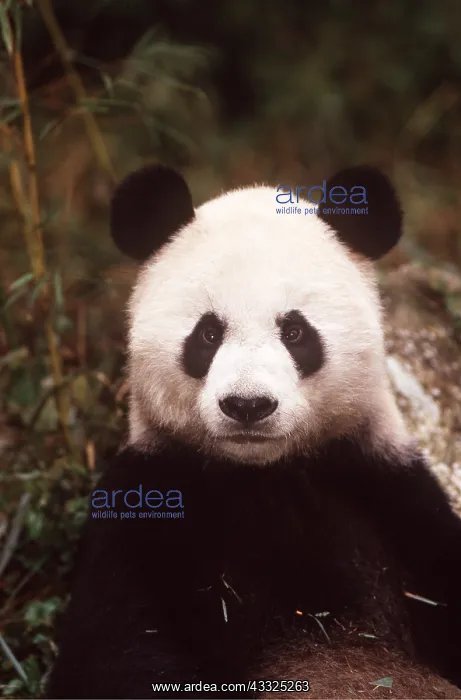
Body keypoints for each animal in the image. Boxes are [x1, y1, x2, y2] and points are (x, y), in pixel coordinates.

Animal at [48, 165, 461, 699]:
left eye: (295, 332)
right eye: (207, 334)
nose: (248, 405)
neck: (263, 473)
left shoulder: (385, 488)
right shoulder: (148, 499)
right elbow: (114, 652)